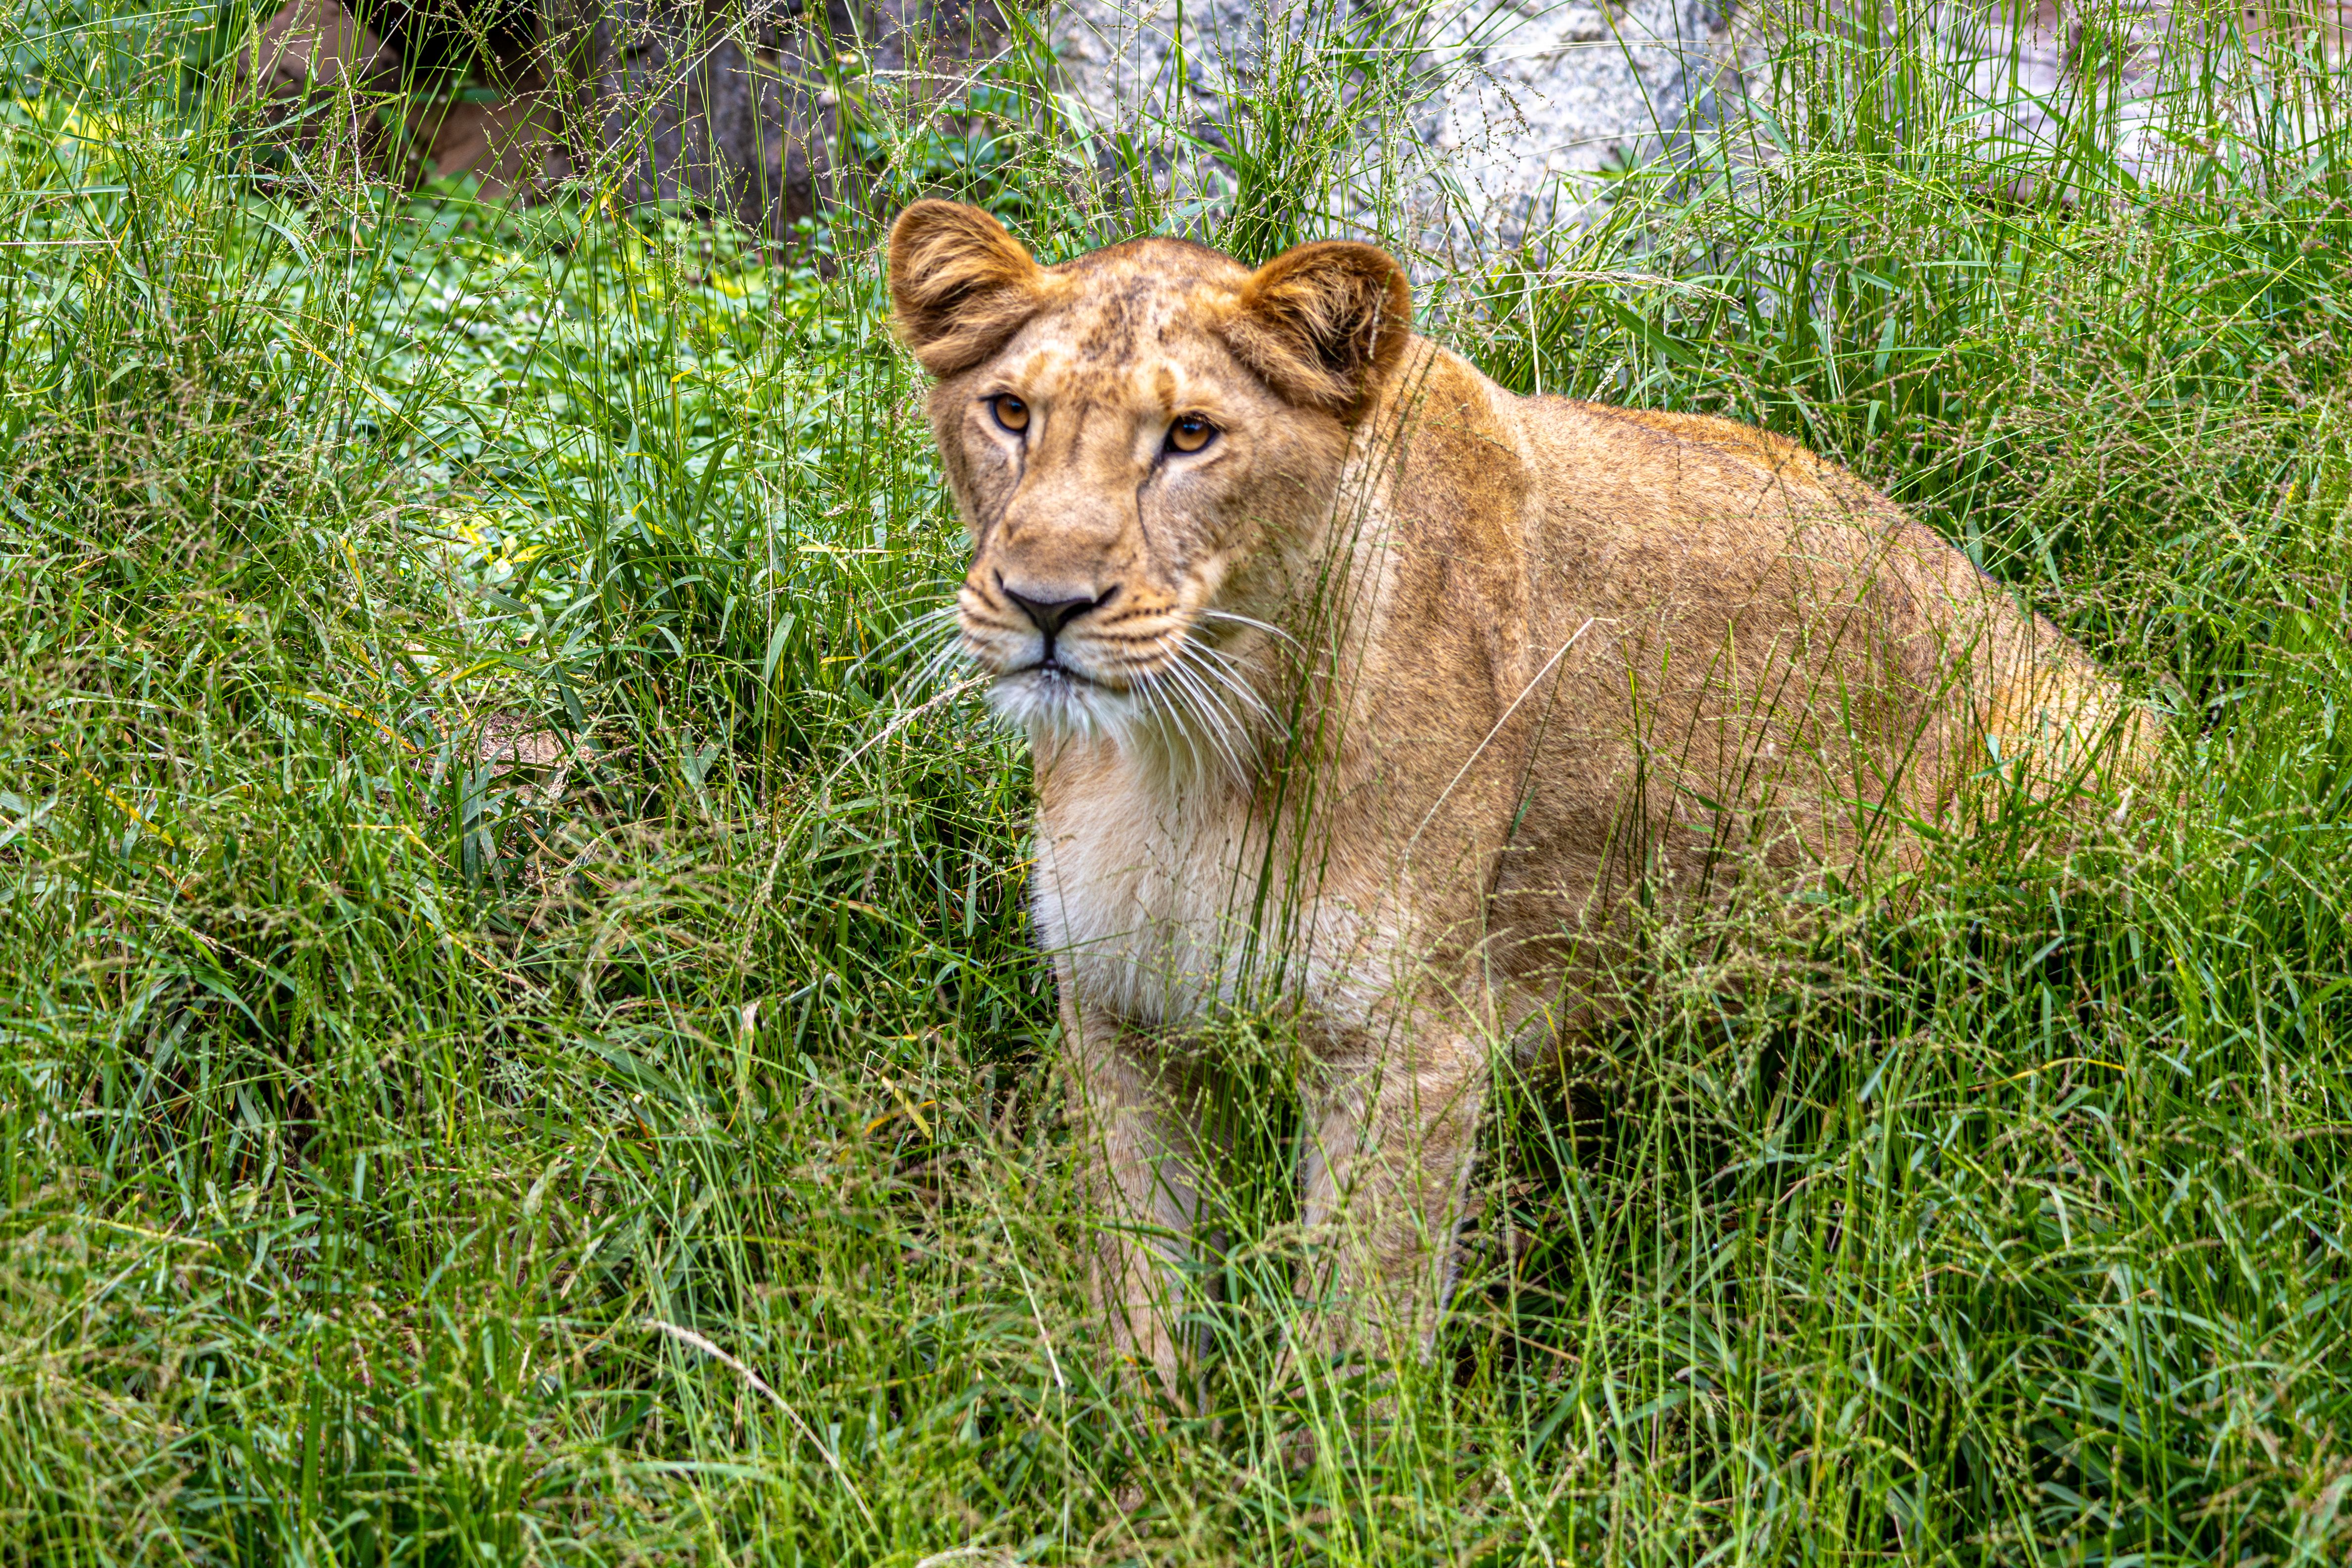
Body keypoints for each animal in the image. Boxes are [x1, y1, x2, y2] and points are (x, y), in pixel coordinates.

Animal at [886, 199, 2154, 1398]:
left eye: (1190, 435)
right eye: (1010, 413)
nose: (1045, 602)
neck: (1183, 756)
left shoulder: (1410, 1044)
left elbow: (1358, 1335)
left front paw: (1320, 1462)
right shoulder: (1118, 1012)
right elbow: (1136, 1280)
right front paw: (1136, 1437)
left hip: (2070, 763)